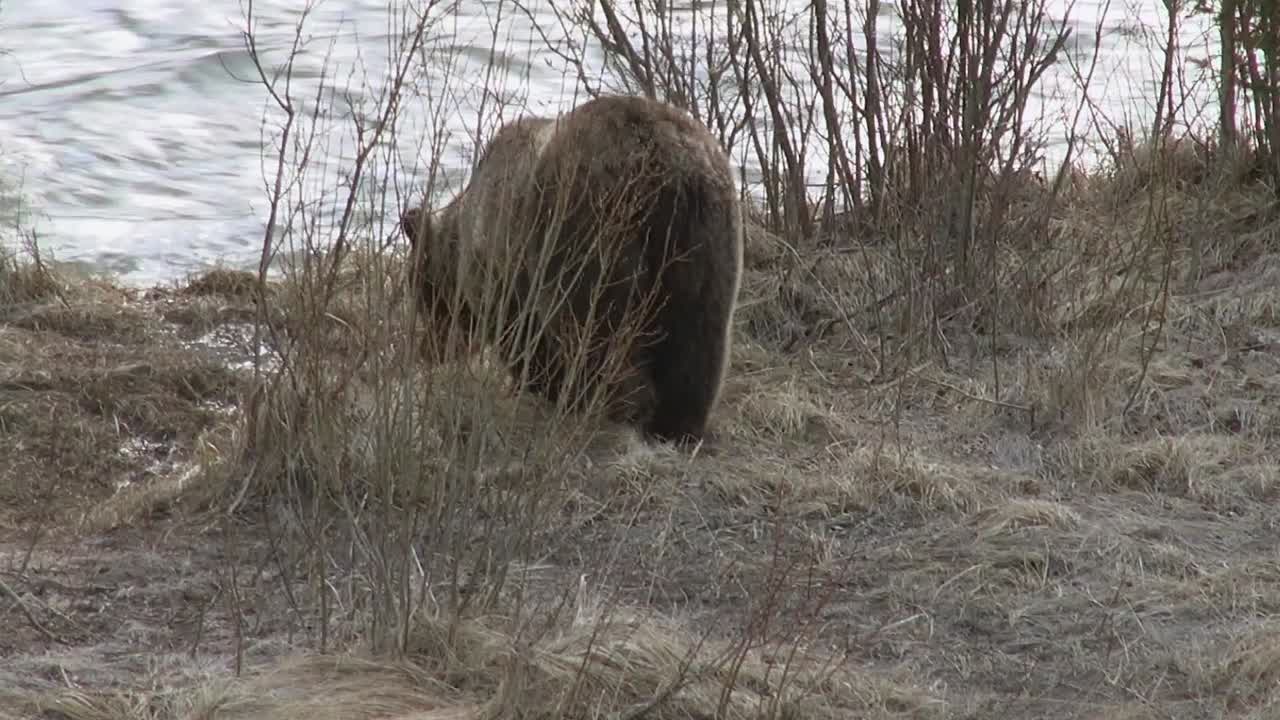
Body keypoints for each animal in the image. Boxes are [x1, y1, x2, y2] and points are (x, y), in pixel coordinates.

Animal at [400, 94, 744, 446]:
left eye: (420, 292)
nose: (427, 350)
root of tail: (666, 163)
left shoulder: (506, 266)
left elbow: (523, 336)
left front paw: (540, 387)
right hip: (708, 236)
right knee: (700, 341)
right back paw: (678, 426)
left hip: (589, 228)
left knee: (595, 329)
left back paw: (610, 411)